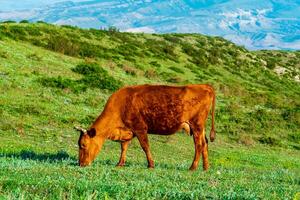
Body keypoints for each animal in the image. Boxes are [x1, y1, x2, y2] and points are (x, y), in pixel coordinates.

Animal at [75, 84, 216, 170]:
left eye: (83, 145)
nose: (81, 164)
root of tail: (204, 86)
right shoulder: (128, 131)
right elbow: (123, 147)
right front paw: (120, 163)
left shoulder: (140, 128)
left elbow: (145, 146)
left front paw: (151, 165)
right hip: (200, 127)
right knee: (205, 143)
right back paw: (205, 168)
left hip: (196, 125)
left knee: (199, 145)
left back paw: (192, 167)